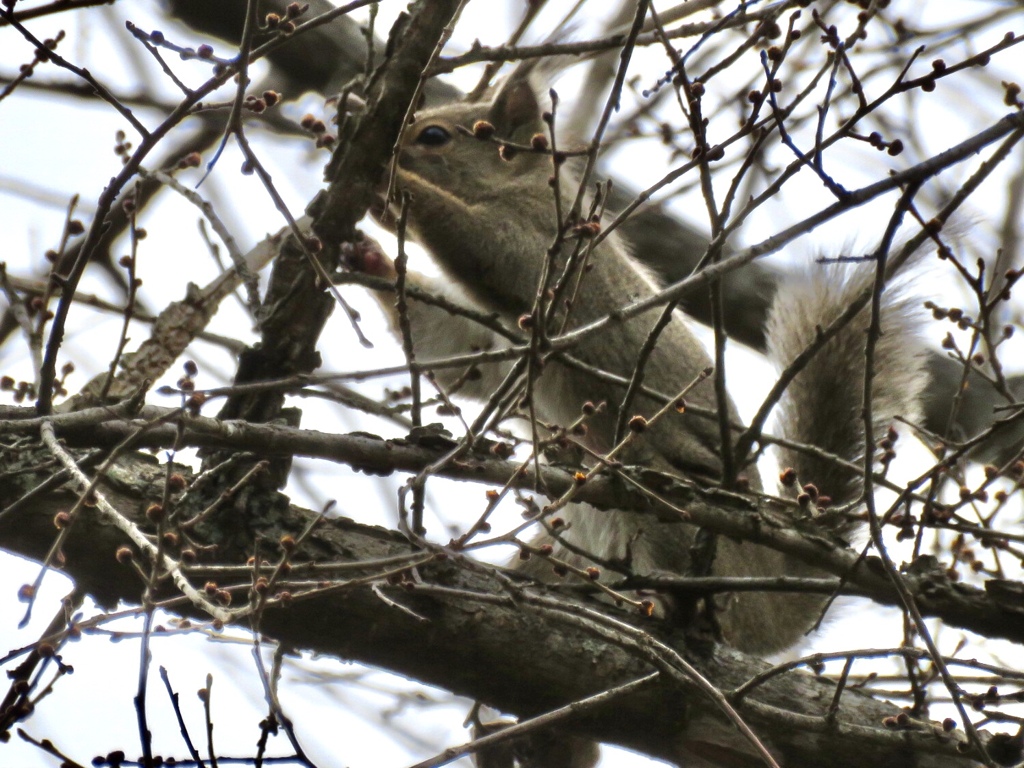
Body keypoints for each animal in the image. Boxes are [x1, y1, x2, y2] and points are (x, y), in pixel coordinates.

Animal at [354, 75, 929, 663]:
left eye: (435, 136)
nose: (391, 156)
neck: (520, 187)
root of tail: (767, 612)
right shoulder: (500, 341)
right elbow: (455, 349)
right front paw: (366, 255)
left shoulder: (541, 244)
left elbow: (484, 247)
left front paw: (386, 182)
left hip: (669, 509)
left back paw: (669, 603)